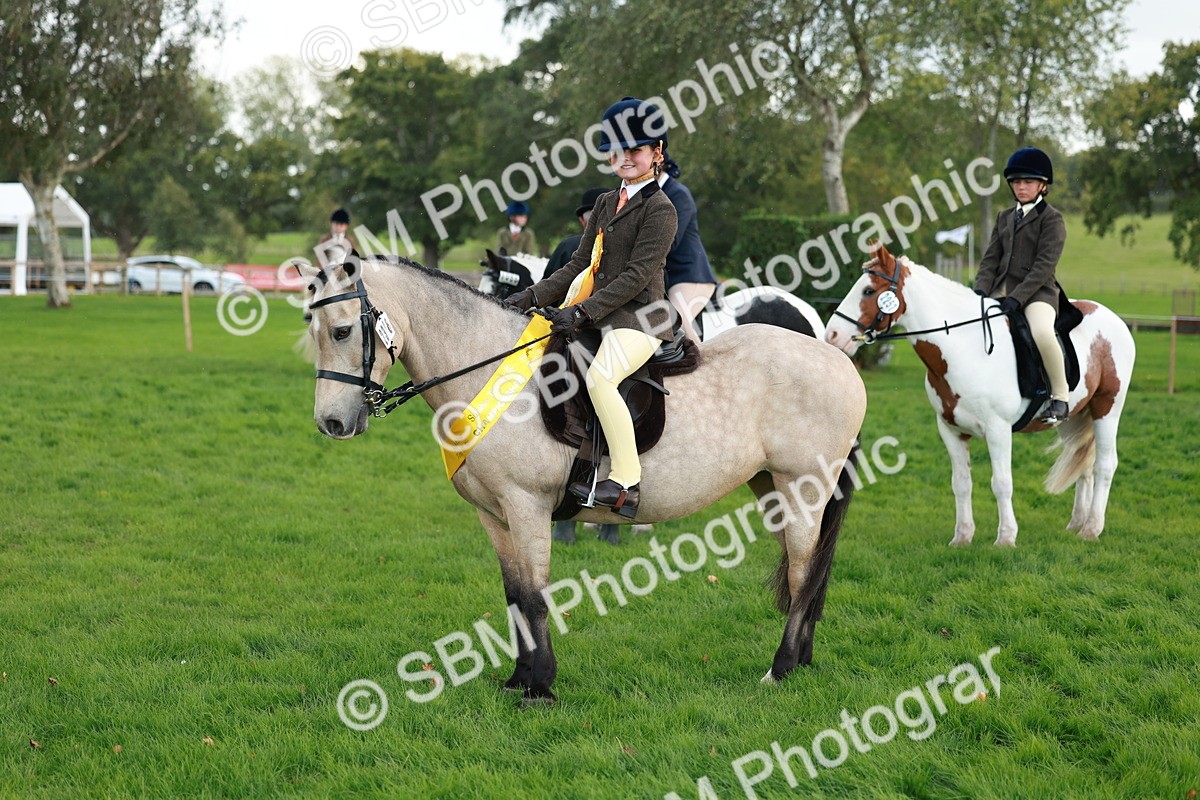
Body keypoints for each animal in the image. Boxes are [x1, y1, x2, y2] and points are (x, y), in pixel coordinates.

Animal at [824, 244, 1135, 547]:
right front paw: (962, 537)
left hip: (1107, 408)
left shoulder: (998, 429)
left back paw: (1092, 529)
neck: (964, 347)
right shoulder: (950, 430)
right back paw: (1077, 523)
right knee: (1084, 464)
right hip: (1074, 416)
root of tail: (1113, 318)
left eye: (868, 290)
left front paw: (1006, 538)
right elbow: (961, 483)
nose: (832, 336)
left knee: (1105, 465)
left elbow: (1001, 483)